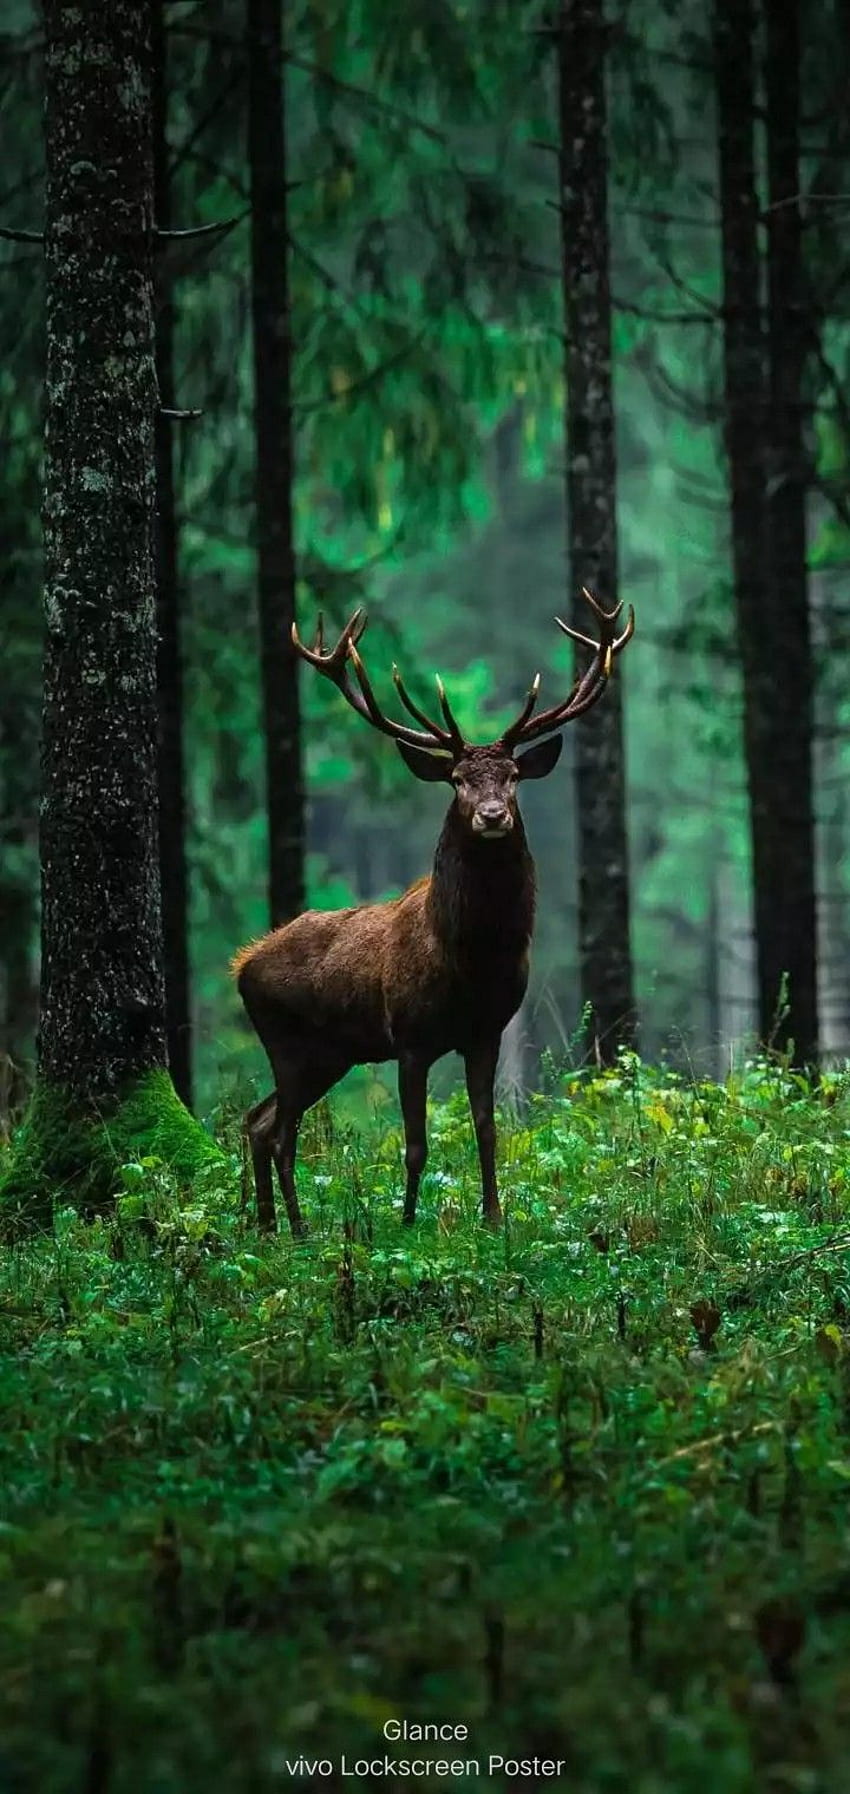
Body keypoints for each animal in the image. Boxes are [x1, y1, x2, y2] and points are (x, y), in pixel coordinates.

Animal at [231, 588, 631, 1234]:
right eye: (459, 779)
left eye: (513, 776)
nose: (492, 815)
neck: (471, 958)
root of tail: (242, 964)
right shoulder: (411, 1038)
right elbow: (415, 1143)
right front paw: (407, 1223)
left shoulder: (487, 1031)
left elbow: (488, 1130)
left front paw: (493, 1218)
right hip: (287, 1042)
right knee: (280, 1131)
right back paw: (295, 1230)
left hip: (329, 1054)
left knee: (258, 1121)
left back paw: (273, 1228)